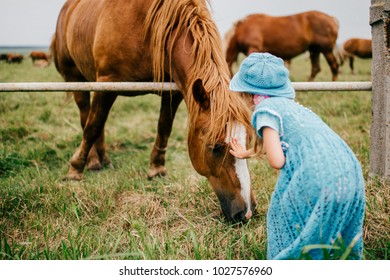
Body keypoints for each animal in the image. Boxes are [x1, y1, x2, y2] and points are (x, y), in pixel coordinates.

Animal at [51, 0, 258, 223]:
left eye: (247, 141)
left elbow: (164, 127)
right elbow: (92, 127)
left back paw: (104, 159)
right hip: (76, 78)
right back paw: (92, 161)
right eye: (216, 147)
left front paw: (156, 168)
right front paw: (74, 169)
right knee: (87, 118)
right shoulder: (107, 84)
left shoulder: (173, 91)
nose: (247, 212)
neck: (148, 30)